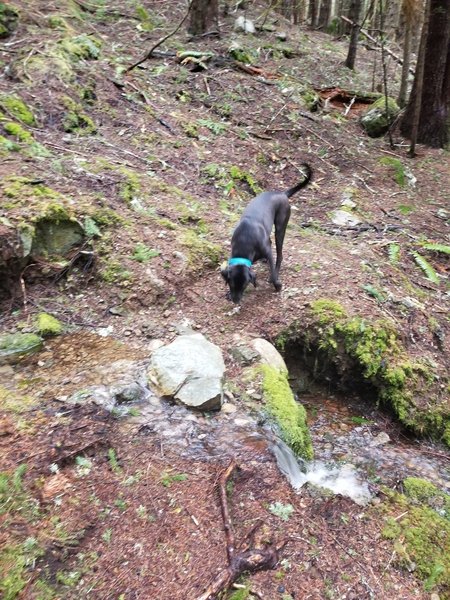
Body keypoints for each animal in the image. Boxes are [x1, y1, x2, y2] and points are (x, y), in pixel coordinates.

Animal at [222, 163, 312, 304]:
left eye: (245, 285)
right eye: (231, 284)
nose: (236, 300)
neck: (245, 241)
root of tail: (282, 194)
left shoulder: (269, 252)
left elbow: (273, 271)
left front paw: (277, 285)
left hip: (280, 228)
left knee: (279, 255)